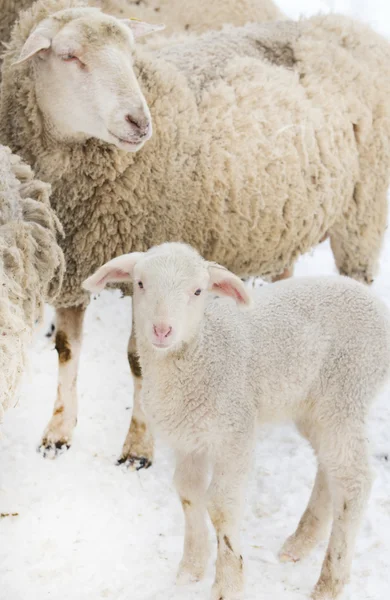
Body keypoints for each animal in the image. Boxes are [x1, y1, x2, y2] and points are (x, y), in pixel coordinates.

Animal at [0, 0, 390, 464]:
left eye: (130, 54)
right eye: (69, 55)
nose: (139, 122)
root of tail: (351, 27)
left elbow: (138, 361)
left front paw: (138, 448)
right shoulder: (77, 266)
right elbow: (67, 350)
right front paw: (58, 432)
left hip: (362, 215)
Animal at [84, 241, 390, 600]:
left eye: (198, 291)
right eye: (141, 284)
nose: (162, 330)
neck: (203, 351)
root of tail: (374, 303)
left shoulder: (235, 430)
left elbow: (221, 505)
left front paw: (228, 583)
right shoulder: (189, 438)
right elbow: (188, 492)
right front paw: (192, 567)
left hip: (347, 391)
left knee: (354, 481)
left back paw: (329, 582)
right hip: (314, 406)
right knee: (331, 469)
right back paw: (300, 543)